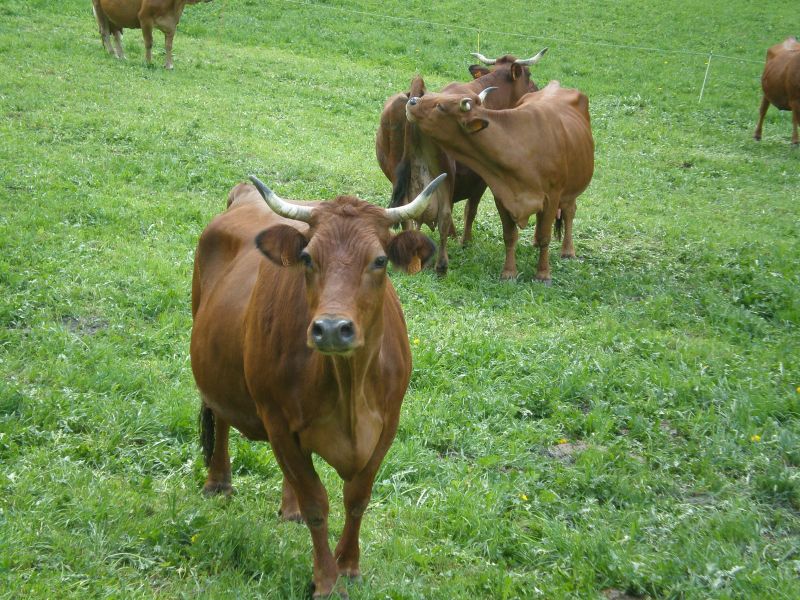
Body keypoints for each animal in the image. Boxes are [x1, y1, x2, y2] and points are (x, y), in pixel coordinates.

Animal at [191, 173, 446, 596]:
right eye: (308, 258)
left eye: (380, 260)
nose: (330, 328)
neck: (348, 389)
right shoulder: (278, 423)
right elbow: (316, 503)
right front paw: (326, 579)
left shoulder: (388, 426)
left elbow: (357, 497)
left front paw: (349, 566)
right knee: (218, 414)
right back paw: (218, 483)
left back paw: (288, 508)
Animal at [376, 50, 544, 276]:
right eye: (529, 75)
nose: (537, 91)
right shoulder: (481, 180)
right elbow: (469, 210)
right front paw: (465, 241)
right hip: (444, 175)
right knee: (443, 215)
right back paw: (441, 264)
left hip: (399, 177)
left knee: (407, 214)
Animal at [406, 80, 592, 284]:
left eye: (440, 106)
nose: (412, 101)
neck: (522, 149)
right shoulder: (502, 195)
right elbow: (510, 235)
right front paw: (509, 272)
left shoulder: (552, 196)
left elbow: (546, 236)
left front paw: (543, 274)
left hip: (571, 189)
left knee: (569, 212)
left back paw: (568, 250)